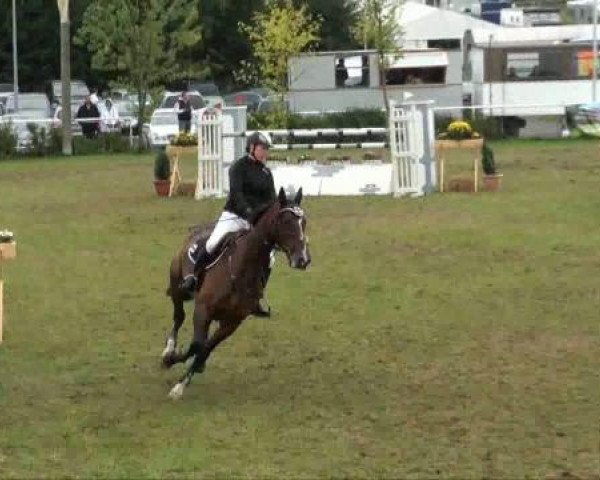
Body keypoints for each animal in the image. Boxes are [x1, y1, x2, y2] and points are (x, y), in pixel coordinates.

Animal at [161, 186, 310, 400]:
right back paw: (168, 349)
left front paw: (185, 378)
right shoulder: (203, 310)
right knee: (179, 316)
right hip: (178, 288)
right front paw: (173, 366)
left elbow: (205, 348)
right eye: (286, 222)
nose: (303, 260)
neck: (241, 269)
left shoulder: (232, 322)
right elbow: (197, 344)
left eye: (303, 222)